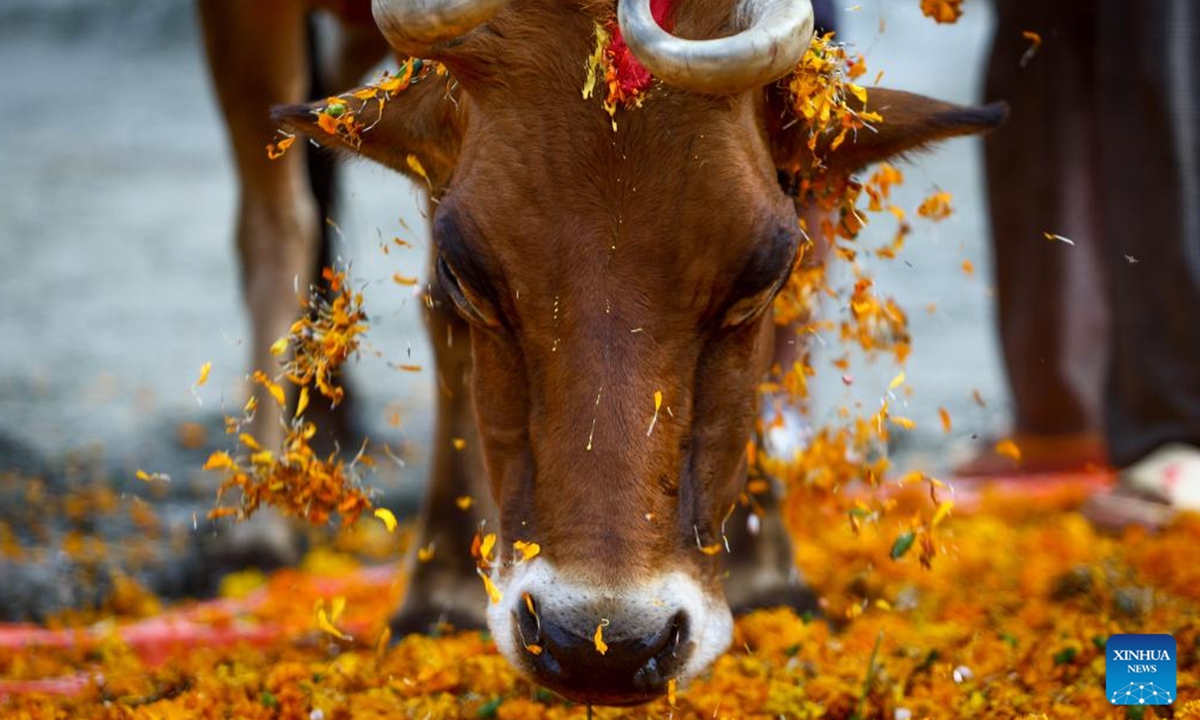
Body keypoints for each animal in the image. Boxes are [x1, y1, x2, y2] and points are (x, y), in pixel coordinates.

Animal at [199, 0, 1003, 705]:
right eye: (467, 273)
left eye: (762, 276)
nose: (604, 647)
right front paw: (440, 586)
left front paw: (769, 567)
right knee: (279, 223)